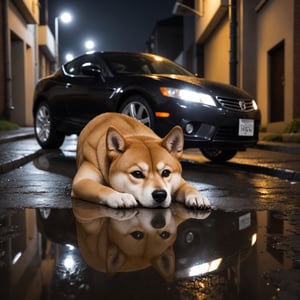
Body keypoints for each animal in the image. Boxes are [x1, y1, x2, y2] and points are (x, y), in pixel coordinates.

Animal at [71, 112, 210, 209]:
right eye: (137, 174)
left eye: (166, 173)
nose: (160, 194)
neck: (134, 135)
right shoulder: (81, 182)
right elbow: (103, 189)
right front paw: (119, 196)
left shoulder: (178, 181)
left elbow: (187, 186)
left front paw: (196, 195)